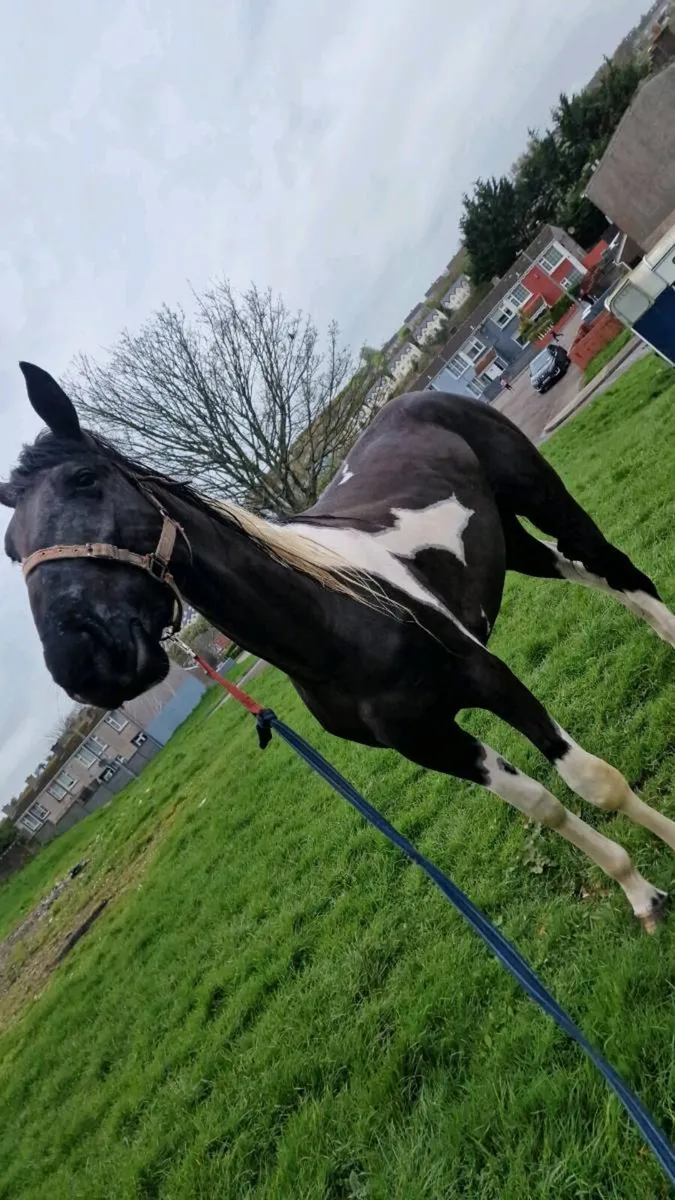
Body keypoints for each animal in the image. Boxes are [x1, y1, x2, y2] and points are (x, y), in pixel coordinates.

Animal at [3, 362, 675, 930]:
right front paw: (641, 894)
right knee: (592, 578)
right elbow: (544, 805)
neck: (336, 621)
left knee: (620, 573)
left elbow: (594, 781)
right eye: (11, 548)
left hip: (543, 499)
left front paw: (664, 848)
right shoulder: (429, 742)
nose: (82, 664)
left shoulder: (491, 678)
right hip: (512, 545)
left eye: (85, 480)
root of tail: (416, 397)